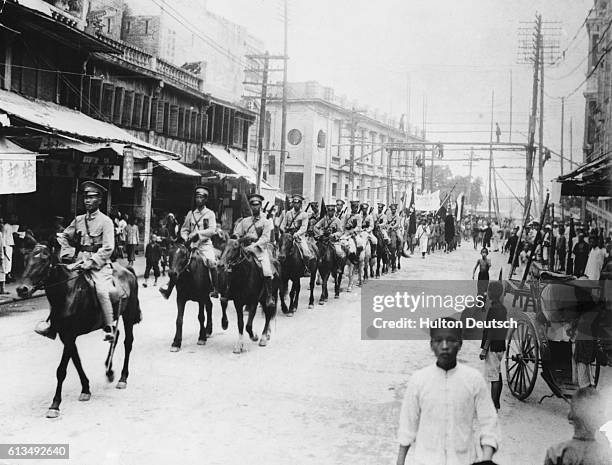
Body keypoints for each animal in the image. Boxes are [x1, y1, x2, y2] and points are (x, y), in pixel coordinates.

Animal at [17, 243, 142, 416]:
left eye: (44, 259)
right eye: (25, 259)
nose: (22, 289)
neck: (68, 292)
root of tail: (127, 270)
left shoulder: (70, 336)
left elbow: (61, 370)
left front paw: (55, 404)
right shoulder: (66, 337)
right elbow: (77, 362)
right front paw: (86, 389)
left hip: (128, 314)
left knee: (128, 342)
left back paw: (123, 378)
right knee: (115, 335)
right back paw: (109, 370)